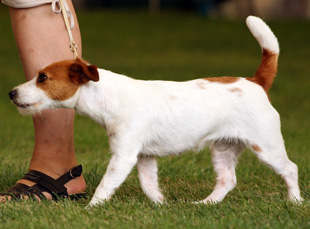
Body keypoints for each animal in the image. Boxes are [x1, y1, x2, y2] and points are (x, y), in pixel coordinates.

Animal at [8, 16, 302, 206]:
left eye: (43, 78)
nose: (11, 93)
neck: (109, 96)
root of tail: (256, 82)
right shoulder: (144, 157)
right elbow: (148, 185)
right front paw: (160, 204)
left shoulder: (124, 156)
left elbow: (106, 185)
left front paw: (91, 208)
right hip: (223, 148)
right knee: (227, 180)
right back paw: (205, 204)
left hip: (266, 146)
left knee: (290, 169)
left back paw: (295, 201)